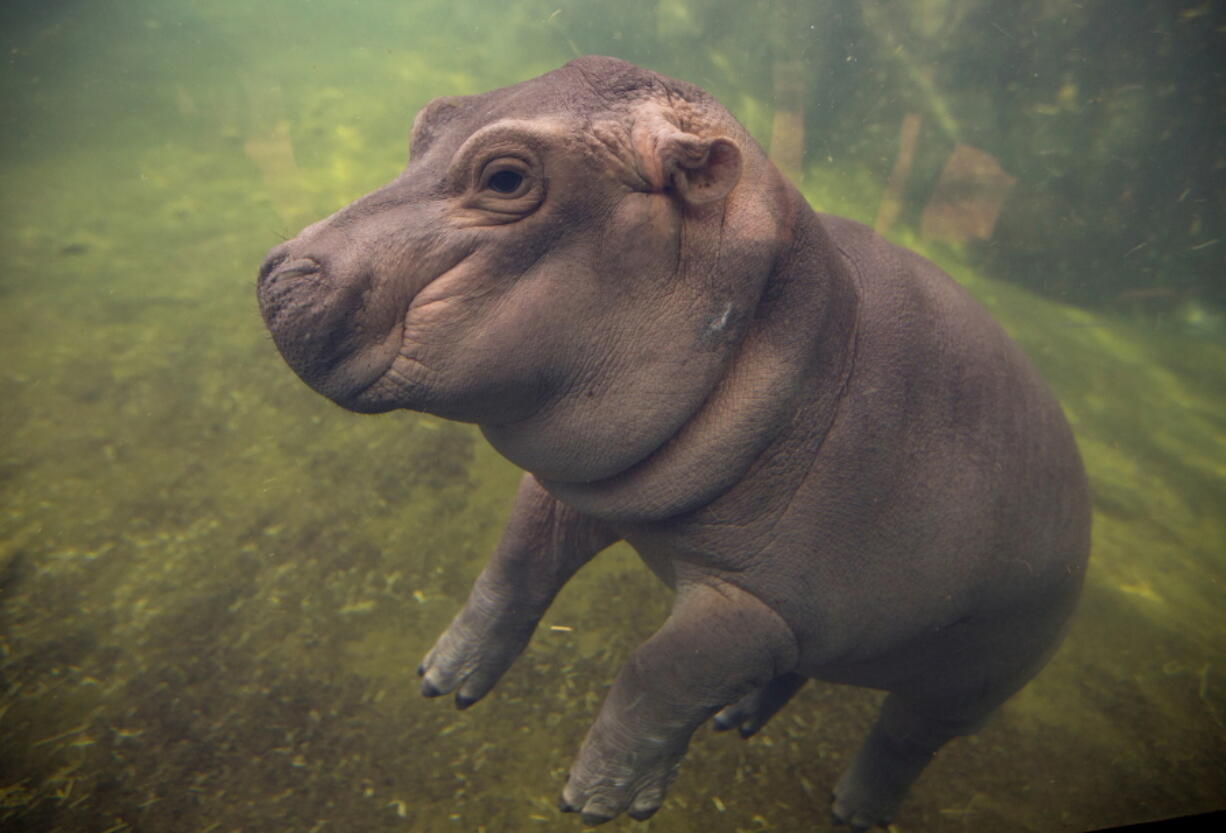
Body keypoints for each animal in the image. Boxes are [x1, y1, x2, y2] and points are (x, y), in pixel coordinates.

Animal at [253, 57, 1088, 829]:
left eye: (506, 176)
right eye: (430, 118)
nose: (276, 271)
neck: (796, 330)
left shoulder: (758, 602)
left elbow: (659, 670)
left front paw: (598, 800)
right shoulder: (580, 486)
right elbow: (513, 569)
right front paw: (441, 679)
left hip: (969, 679)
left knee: (904, 737)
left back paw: (853, 810)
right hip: (843, 633)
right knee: (798, 670)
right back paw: (736, 719)